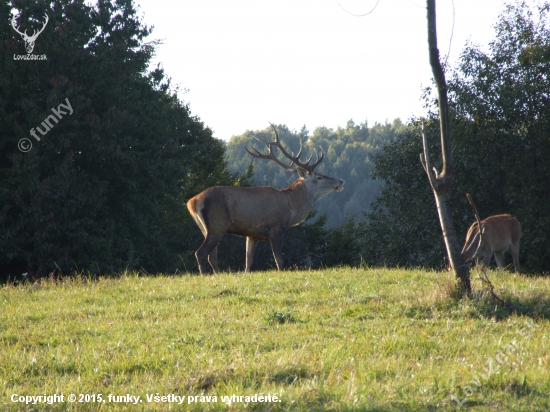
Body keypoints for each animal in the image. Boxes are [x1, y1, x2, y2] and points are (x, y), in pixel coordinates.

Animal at [190, 124, 344, 276]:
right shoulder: (275, 227)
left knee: (212, 256)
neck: (291, 208)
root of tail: (193, 202)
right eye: (319, 177)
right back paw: (205, 275)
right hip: (218, 224)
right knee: (201, 253)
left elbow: (248, 262)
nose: (341, 181)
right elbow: (279, 260)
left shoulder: (252, 234)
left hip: (205, 228)